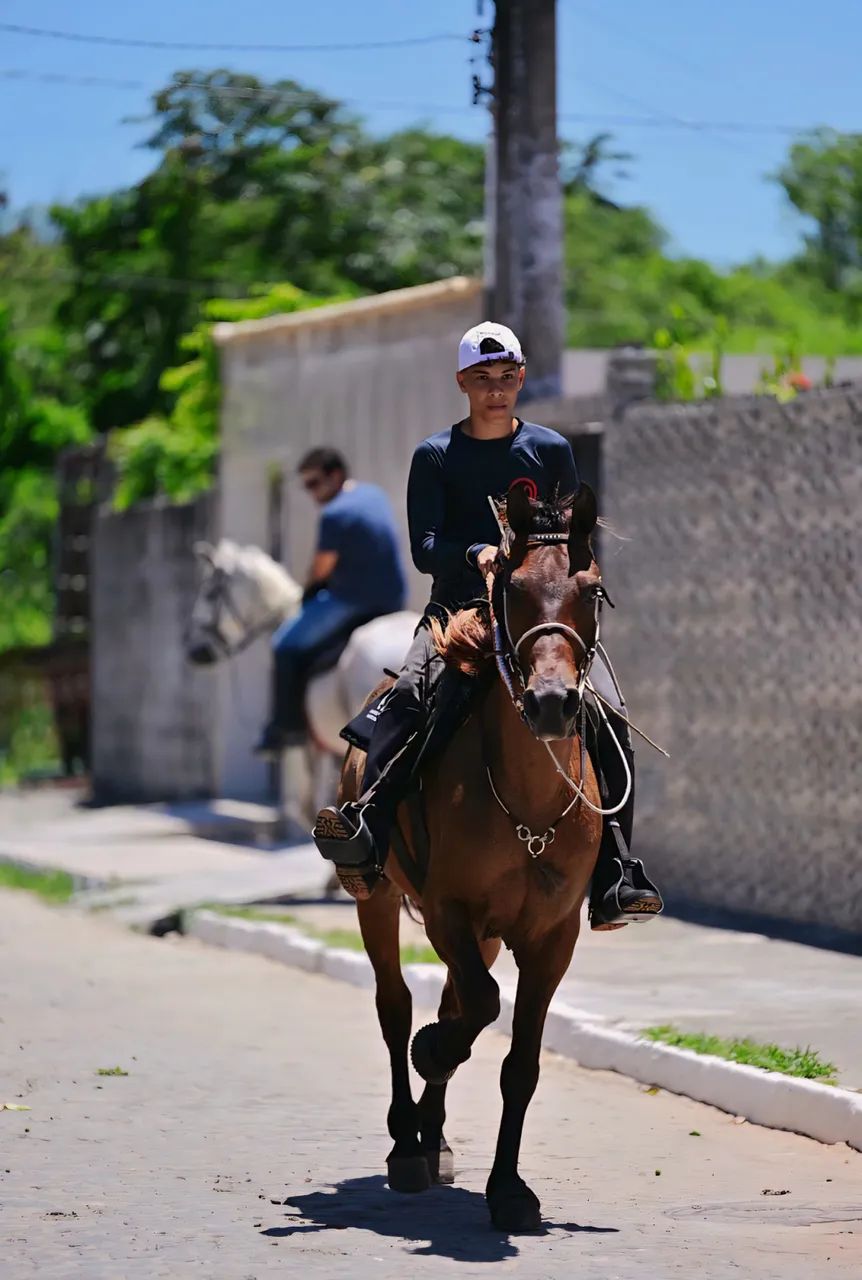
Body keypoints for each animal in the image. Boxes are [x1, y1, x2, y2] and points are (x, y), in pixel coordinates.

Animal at [343, 483, 607, 1232]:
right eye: (510, 590)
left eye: (593, 592)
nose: (551, 704)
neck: (529, 802)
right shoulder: (447, 913)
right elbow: (475, 1007)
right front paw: (433, 1050)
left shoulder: (553, 937)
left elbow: (518, 1061)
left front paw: (509, 1190)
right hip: (376, 898)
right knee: (397, 1004)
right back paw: (408, 1142)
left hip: (486, 933)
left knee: (450, 998)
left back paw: (433, 1136)